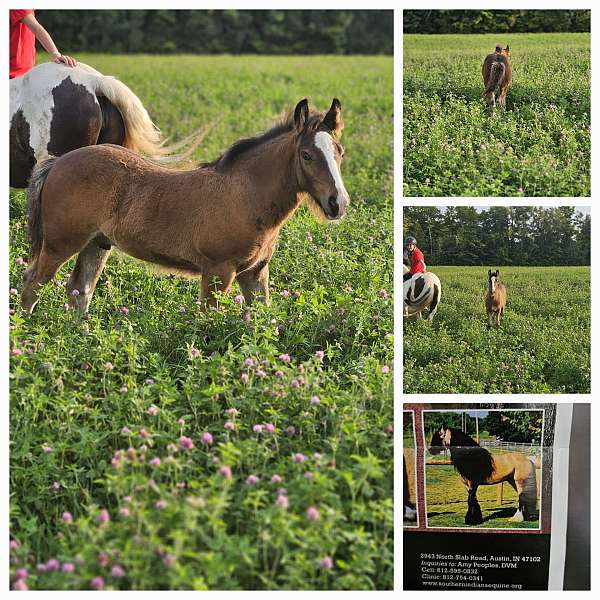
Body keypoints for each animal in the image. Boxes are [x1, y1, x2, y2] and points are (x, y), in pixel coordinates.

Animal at [22, 98, 352, 314]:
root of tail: (58, 162)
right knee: (32, 284)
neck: (246, 195)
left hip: (97, 244)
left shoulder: (255, 273)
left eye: (340, 152)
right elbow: (208, 321)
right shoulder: (218, 270)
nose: (338, 203)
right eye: (307, 155)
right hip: (61, 243)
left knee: (80, 291)